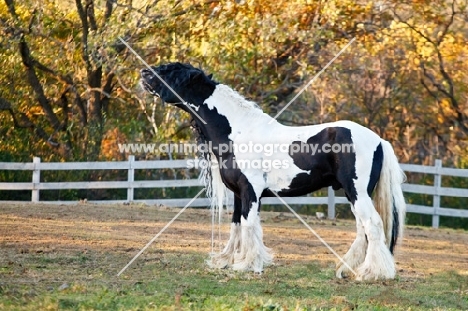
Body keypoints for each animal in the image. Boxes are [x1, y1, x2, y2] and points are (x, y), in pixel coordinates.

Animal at [140, 62, 406, 282]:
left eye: (171, 71)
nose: (143, 73)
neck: (237, 131)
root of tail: (379, 140)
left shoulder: (251, 191)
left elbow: (248, 225)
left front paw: (248, 265)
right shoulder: (239, 193)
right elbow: (236, 225)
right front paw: (227, 261)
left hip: (357, 192)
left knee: (372, 225)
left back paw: (371, 273)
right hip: (356, 195)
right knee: (363, 230)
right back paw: (346, 270)